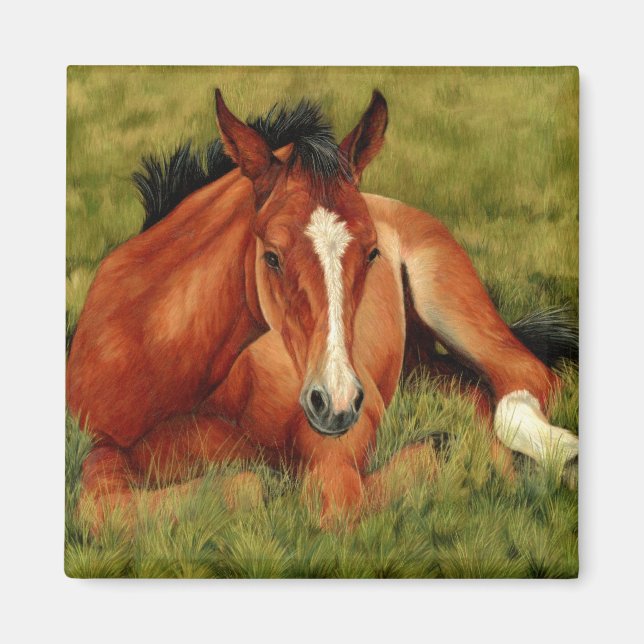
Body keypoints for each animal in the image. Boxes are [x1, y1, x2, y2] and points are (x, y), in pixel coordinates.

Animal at [67, 89, 578, 526]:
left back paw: (553, 457)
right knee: (471, 391)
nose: (336, 400)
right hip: (418, 366)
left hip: (448, 302)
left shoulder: (341, 437)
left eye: (371, 252)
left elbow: (332, 500)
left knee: (526, 379)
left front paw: (444, 454)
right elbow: (104, 506)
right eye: (271, 256)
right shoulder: (98, 445)